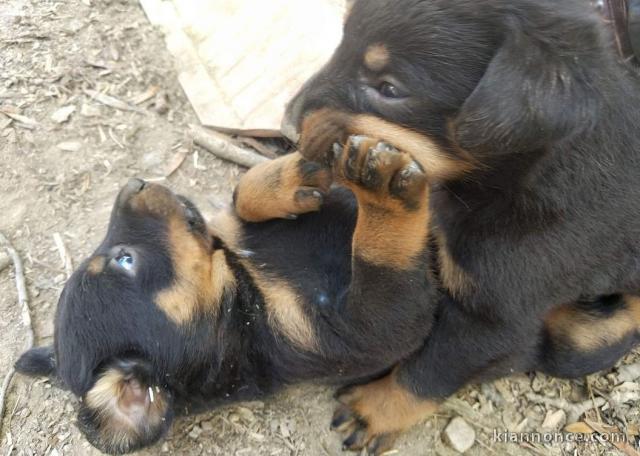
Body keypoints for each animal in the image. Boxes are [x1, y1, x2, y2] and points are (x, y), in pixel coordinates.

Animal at [15, 137, 438, 454]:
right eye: (124, 259)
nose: (134, 184)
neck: (247, 289)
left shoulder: (231, 233)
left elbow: (242, 197)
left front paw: (289, 176)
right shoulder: (366, 330)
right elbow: (381, 262)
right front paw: (383, 192)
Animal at [278, 0, 640, 450]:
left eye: (390, 89)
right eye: (342, 41)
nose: (287, 127)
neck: (512, 182)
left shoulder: (496, 313)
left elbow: (432, 369)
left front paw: (375, 411)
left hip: (588, 333)